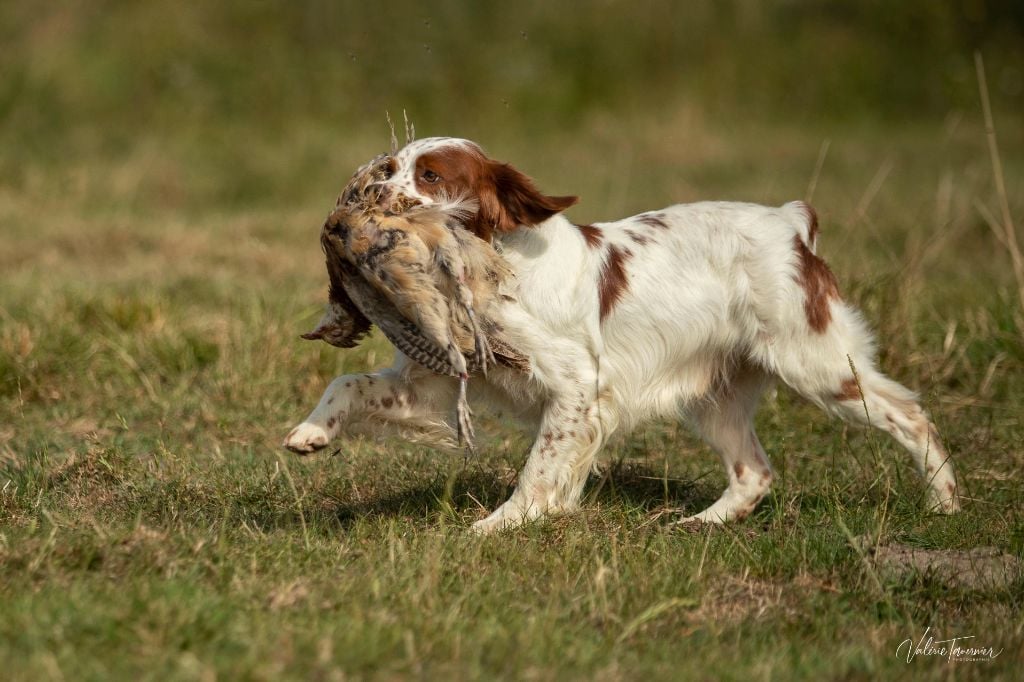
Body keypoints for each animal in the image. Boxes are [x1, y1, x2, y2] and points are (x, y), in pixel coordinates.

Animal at [284, 137, 962, 532]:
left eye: (428, 175)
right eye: (388, 167)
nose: (369, 193)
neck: (493, 269)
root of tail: (792, 223)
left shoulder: (577, 387)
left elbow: (539, 467)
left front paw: (501, 525)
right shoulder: (434, 382)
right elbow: (349, 383)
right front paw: (310, 434)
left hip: (817, 365)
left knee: (911, 413)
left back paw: (945, 502)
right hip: (713, 396)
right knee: (754, 471)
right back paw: (699, 525)